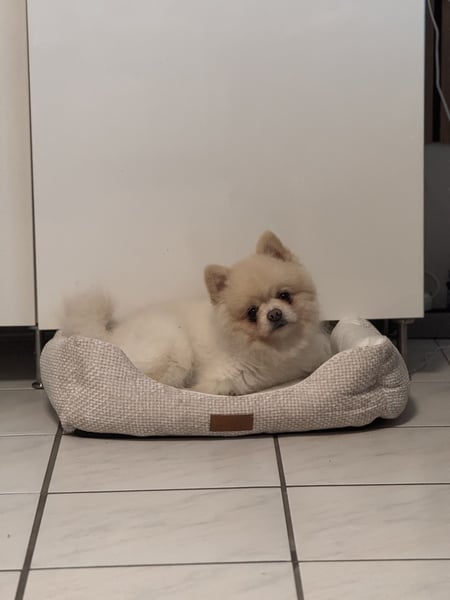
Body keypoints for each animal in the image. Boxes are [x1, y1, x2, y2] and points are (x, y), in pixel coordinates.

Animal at [61, 231, 331, 395]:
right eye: (252, 312)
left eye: (285, 296)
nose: (274, 314)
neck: (278, 351)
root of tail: (109, 336)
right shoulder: (220, 381)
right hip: (174, 349)